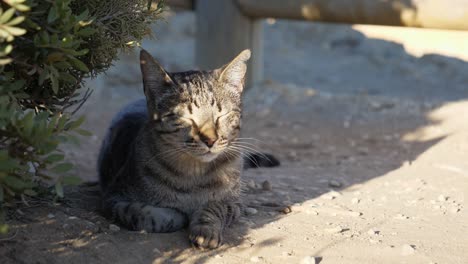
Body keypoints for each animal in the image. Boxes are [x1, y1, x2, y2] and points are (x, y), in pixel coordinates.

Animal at [96, 48, 276, 249]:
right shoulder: (113, 198)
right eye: (184, 117)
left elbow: (214, 207)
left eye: (222, 115)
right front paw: (174, 215)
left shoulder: (234, 203)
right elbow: (144, 214)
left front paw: (205, 229)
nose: (210, 140)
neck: (194, 175)